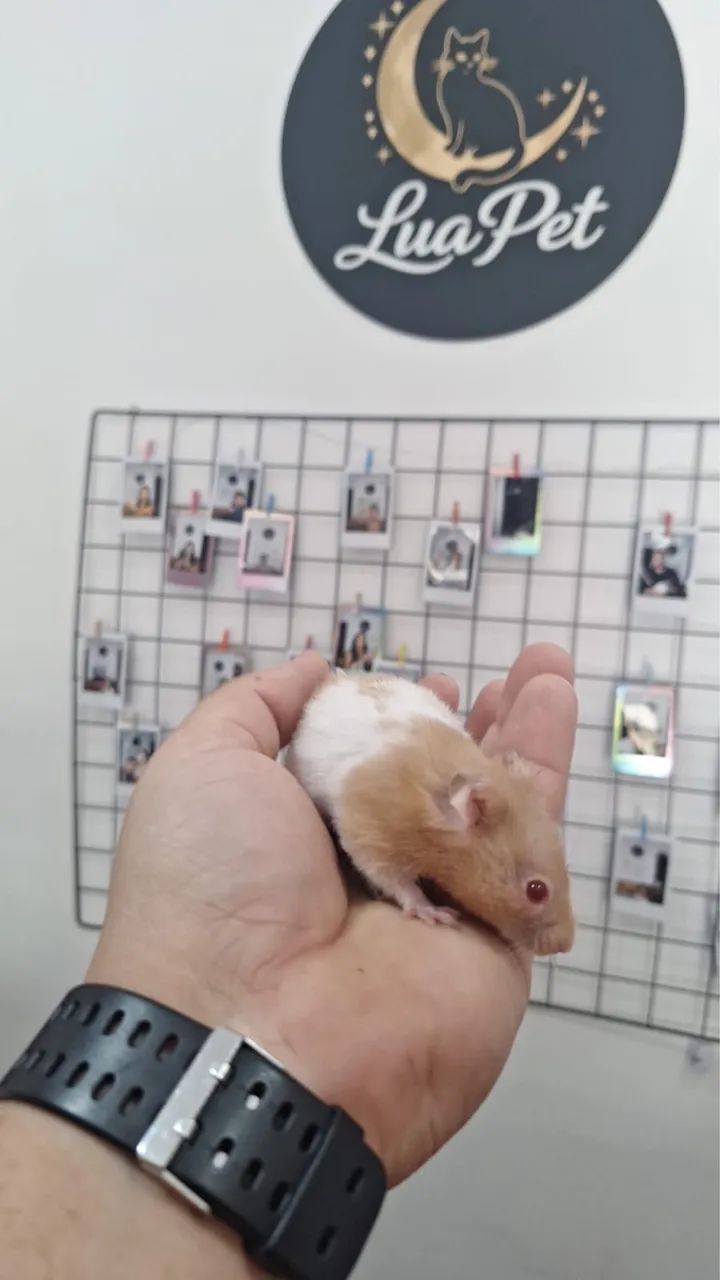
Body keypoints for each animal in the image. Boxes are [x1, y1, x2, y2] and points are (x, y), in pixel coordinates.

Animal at [286, 672, 575, 956]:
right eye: (536, 890)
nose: (565, 945)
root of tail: (336, 678)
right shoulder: (370, 836)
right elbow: (398, 883)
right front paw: (438, 914)